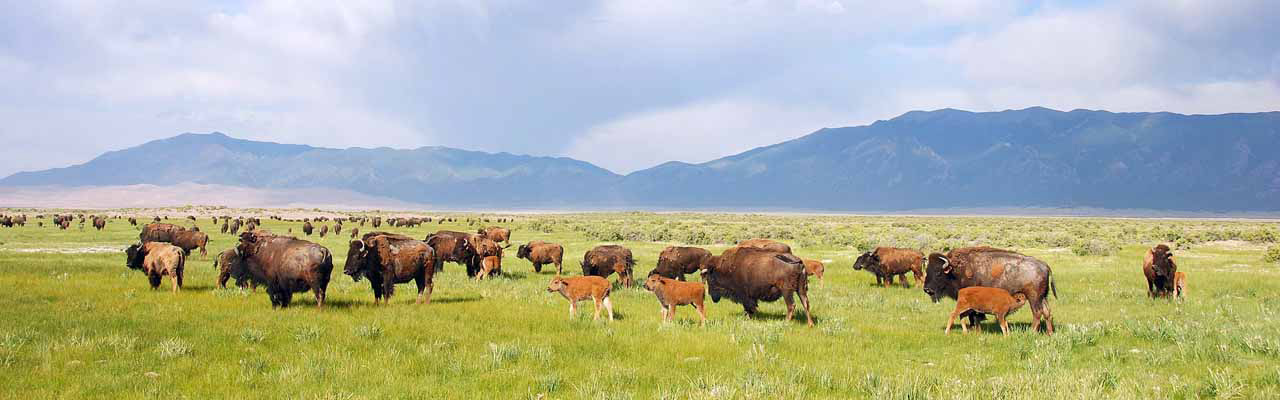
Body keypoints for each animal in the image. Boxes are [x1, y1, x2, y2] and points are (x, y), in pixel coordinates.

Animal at [926, 247, 1054, 333]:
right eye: (927, 270)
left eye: (938, 273)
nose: (926, 289)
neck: (955, 270)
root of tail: (1044, 265)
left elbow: (974, 315)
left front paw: (975, 329)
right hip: (1043, 297)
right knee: (1047, 312)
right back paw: (1049, 333)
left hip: (1034, 298)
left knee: (1037, 313)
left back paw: (1032, 332)